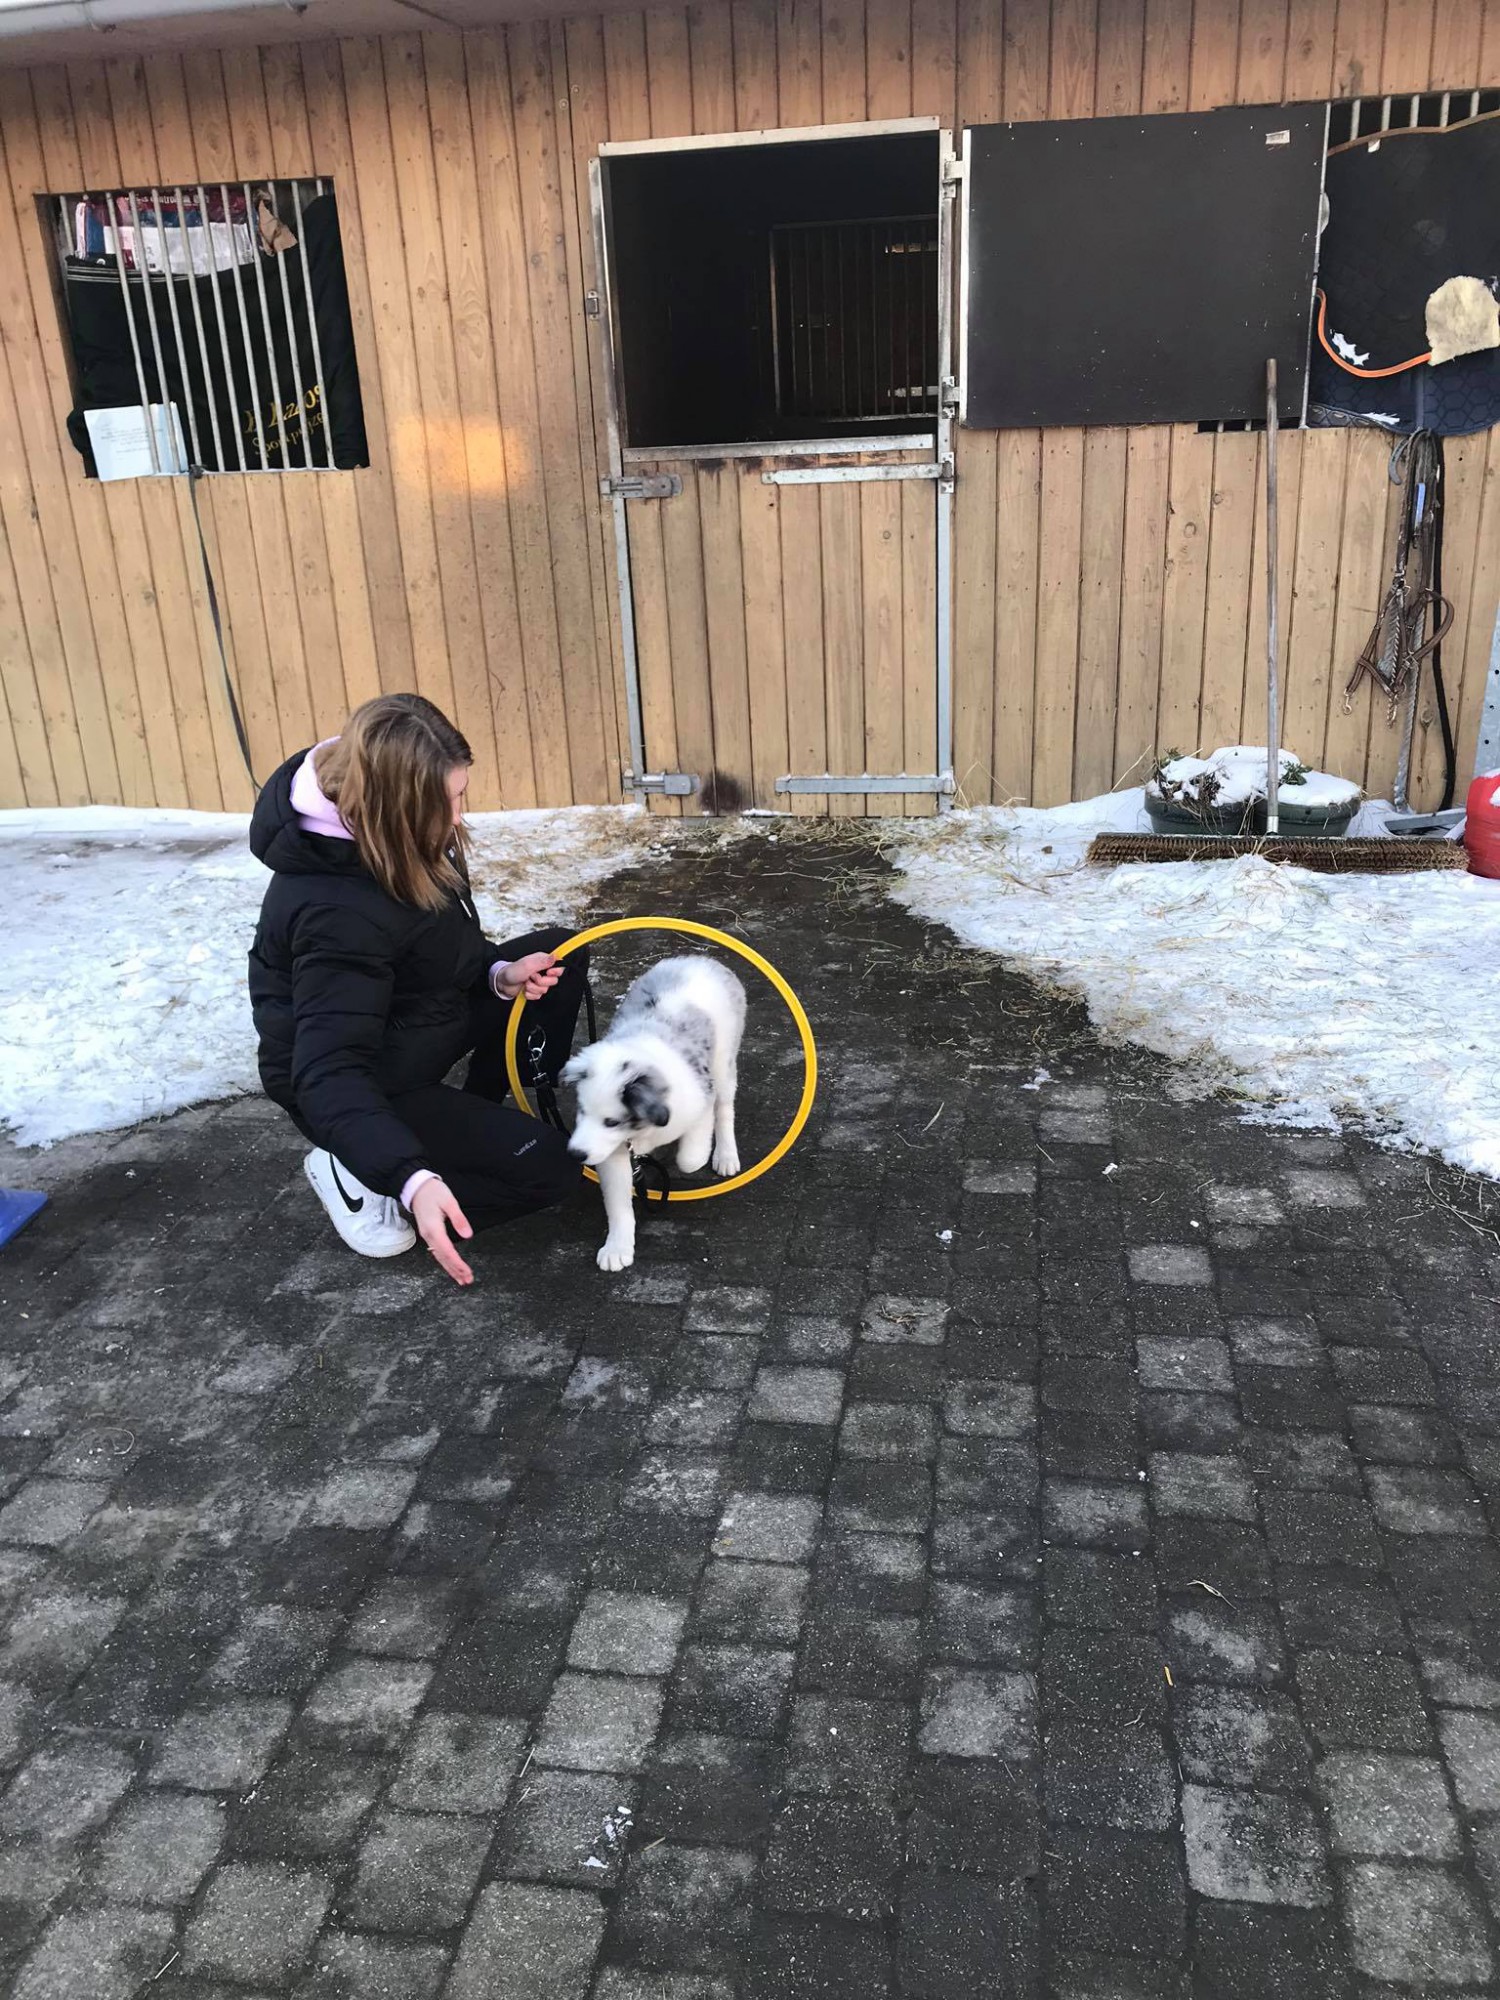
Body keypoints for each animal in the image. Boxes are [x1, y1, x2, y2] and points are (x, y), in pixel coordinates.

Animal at [562, 955, 747, 1272]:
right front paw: (617, 1248)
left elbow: (690, 1158)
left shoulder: (699, 1101)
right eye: (582, 1111)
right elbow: (618, 1204)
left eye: (612, 1121)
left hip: (724, 1063)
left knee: (724, 1109)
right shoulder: (613, 1154)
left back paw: (725, 1156)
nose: (575, 1155)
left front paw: (692, 1156)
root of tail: (701, 959)